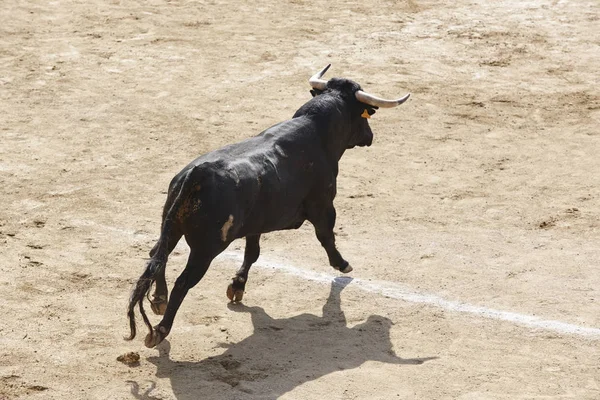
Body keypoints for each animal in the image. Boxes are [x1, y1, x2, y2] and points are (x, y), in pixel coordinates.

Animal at [126, 66, 408, 346]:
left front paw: (237, 286)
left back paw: (159, 301)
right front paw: (342, 264)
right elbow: (326, 236)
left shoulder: (255, 224)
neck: (318, 131)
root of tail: (197, 175)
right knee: (183, 281)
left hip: (171, 228)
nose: (370, 137)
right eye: (365, 115)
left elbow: (252, 253)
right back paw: (160, 330)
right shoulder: (324, 205)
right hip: (206, 249)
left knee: (157, 254)